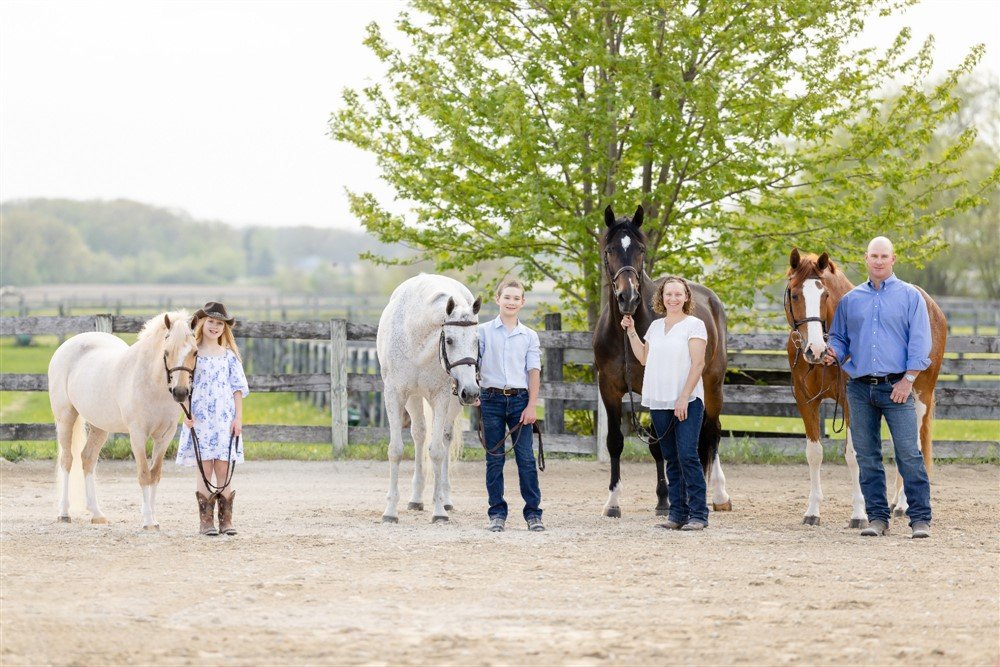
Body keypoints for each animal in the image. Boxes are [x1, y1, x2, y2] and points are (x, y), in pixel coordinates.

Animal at [47, 310, 200, 528]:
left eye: (195, 352)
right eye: (166, 352)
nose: (180, 392)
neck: (151, 383)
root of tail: (68, 344)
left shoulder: (165, 436)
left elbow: (155, 474)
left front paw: (154, 519)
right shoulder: (138, 435)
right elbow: (144, 474)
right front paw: (147, 521)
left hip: (100, 426)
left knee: (87, 459)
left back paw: (97, 514)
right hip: (65, 417)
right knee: (67, 460)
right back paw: (64, 513)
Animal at [376, 274, 482, 524]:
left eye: (477, 340)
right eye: (449, 340)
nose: (472, 392)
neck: (415, 336)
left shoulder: (442, 397)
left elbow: (437, 451)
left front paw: (439, 511)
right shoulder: (394, 394)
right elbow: (396, 450)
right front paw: (390, 512)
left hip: (452, 401)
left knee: (445, 437)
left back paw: (445, 498)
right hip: (414, 398)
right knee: (419, 434)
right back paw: (416, 499)